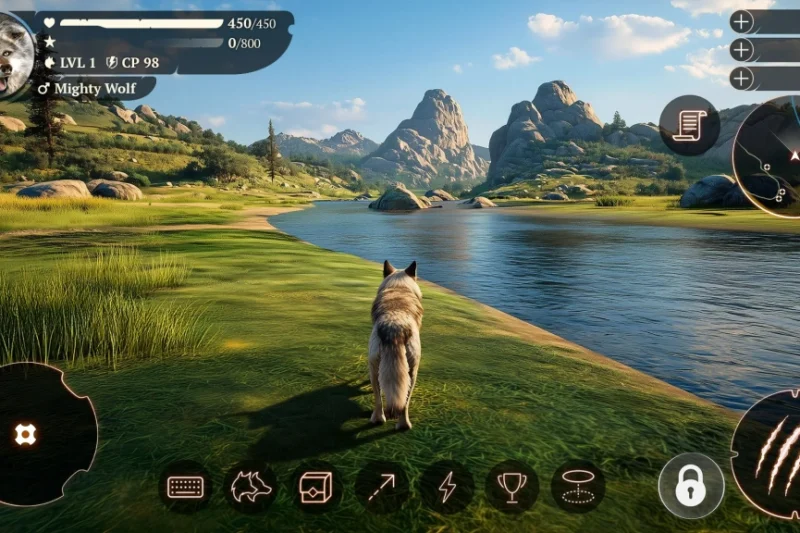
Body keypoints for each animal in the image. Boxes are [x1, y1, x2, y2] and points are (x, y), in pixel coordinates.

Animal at [369, 260, 423, 431]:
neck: (399, 286)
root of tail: (395, 327)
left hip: (377, 367)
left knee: (381, 398)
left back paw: (383, 420)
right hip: (412, 370)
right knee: (401, 402)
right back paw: (400, 423)